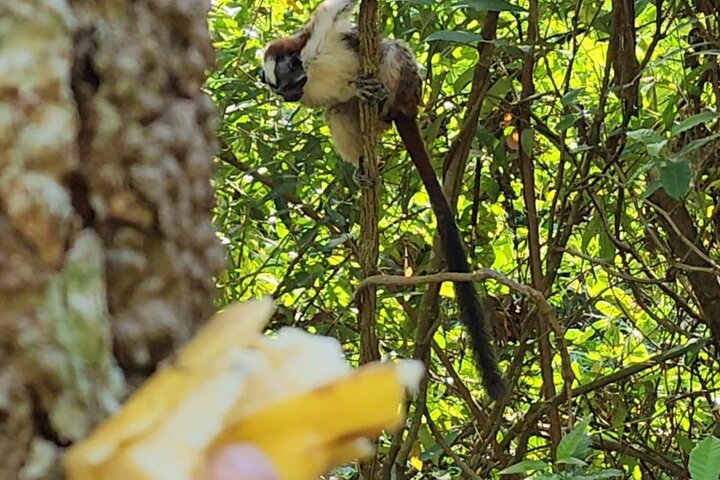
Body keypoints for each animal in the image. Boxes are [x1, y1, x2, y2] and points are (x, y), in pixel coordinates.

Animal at [260, 0, 506, 400]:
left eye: (290, 83)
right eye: (281, 91)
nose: (289, 96)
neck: (310, 69)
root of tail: (407, 108)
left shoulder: (317, 35)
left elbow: (338, 13)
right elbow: (333, 106)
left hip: (408, 88)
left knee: (391, 52)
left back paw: (383, 102)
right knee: (340, 110)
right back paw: (366, 157)